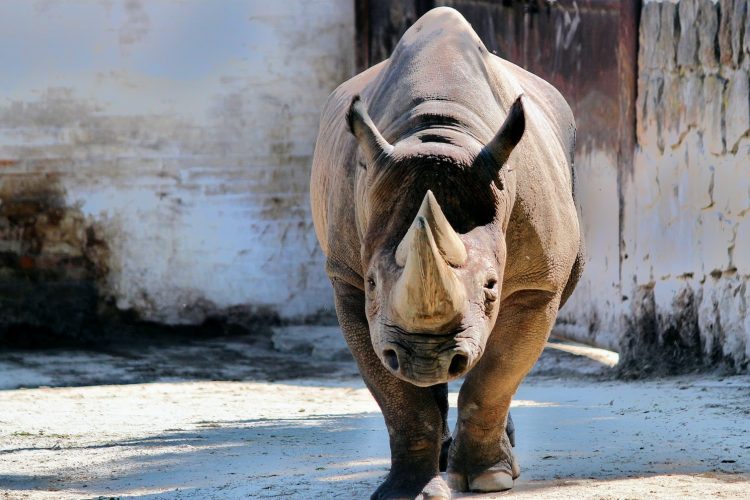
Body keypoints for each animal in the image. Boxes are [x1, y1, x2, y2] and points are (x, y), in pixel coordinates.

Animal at [310, 7, 583, 499]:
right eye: (373, 283)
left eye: (492, 286)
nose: (426, 357)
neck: (438, 136)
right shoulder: (347, 279)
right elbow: (398, 395)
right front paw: (409, 491)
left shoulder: (538, 284)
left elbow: (495, 376)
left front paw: (488, 480)